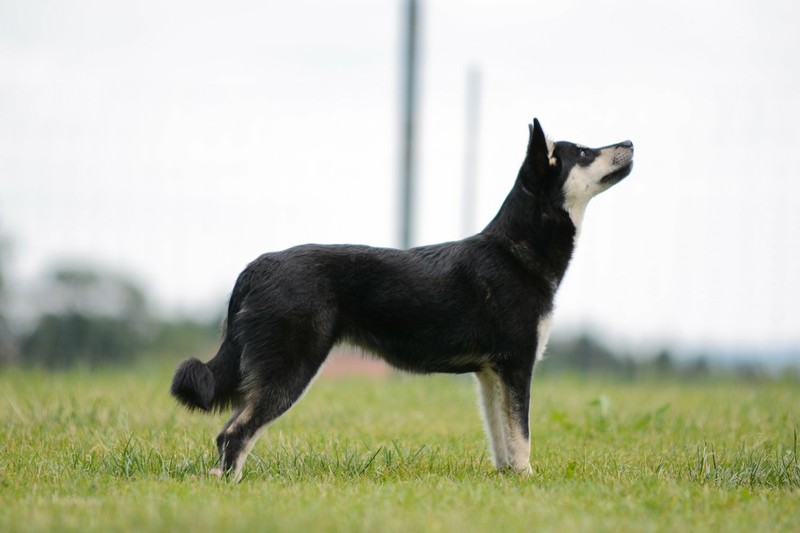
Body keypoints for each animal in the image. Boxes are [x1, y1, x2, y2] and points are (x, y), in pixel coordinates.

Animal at [171, 118, 634, 481]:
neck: (517, 251)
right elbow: (521, 436)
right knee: (234, 433)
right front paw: (527, 479)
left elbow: (500, 435)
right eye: (586, 153)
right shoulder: (517, 366)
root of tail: (256, 267)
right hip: (290, 370)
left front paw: (507, 478)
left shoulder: (491, 373)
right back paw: (226, 484)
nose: (630, 142)